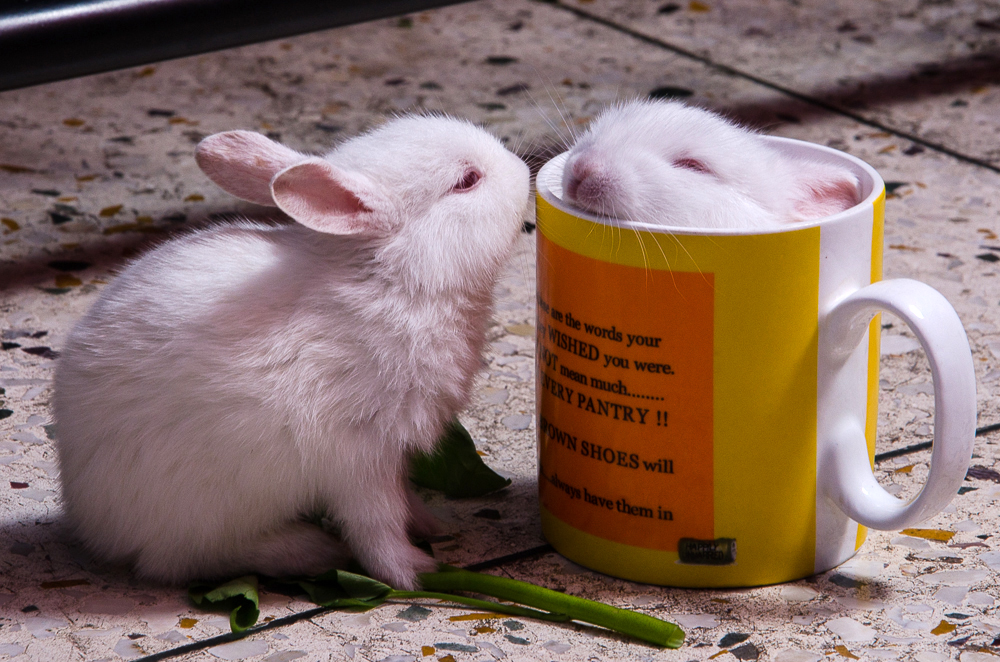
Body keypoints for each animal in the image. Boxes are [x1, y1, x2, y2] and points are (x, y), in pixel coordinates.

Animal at [52, 115, 532, 592]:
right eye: (467, 181)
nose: (524, 170)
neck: (396, 282)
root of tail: (89, 519)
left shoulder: (391, 456)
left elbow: (405, 499)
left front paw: (437, 525)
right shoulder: (356, 457)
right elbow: (376, 524)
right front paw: (413, 572)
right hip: (204, 513)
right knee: (186, 561)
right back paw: (310, 550)